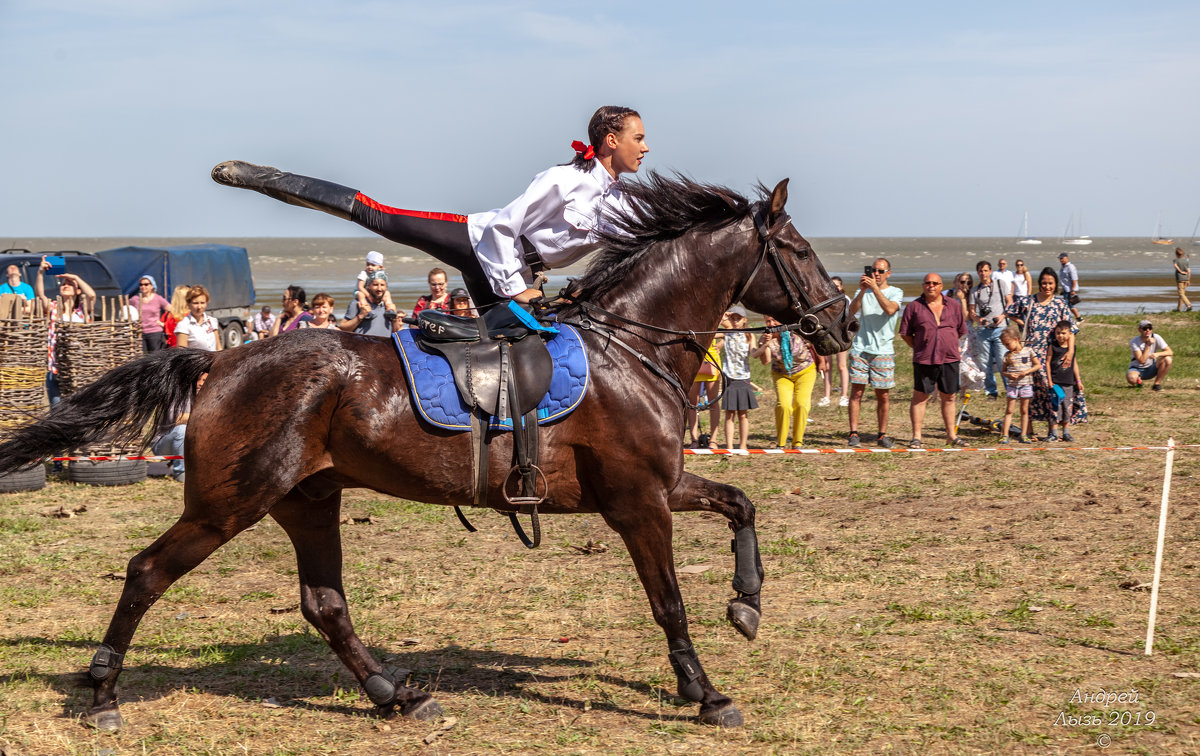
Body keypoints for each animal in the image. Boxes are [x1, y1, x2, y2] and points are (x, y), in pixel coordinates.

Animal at [0, 175, 854, 729]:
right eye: (799, 249)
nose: (842, 324)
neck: (631, 347)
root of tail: (221, 360)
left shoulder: (657, 486)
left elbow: (742, 503)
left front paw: (746, 605)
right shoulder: (639, 503)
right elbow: (668, 600)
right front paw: (706, 693)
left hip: (307, 500)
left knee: (325, 603)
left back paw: (397, 696)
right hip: (227, 504)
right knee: (148, 572)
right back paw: (103, 696)